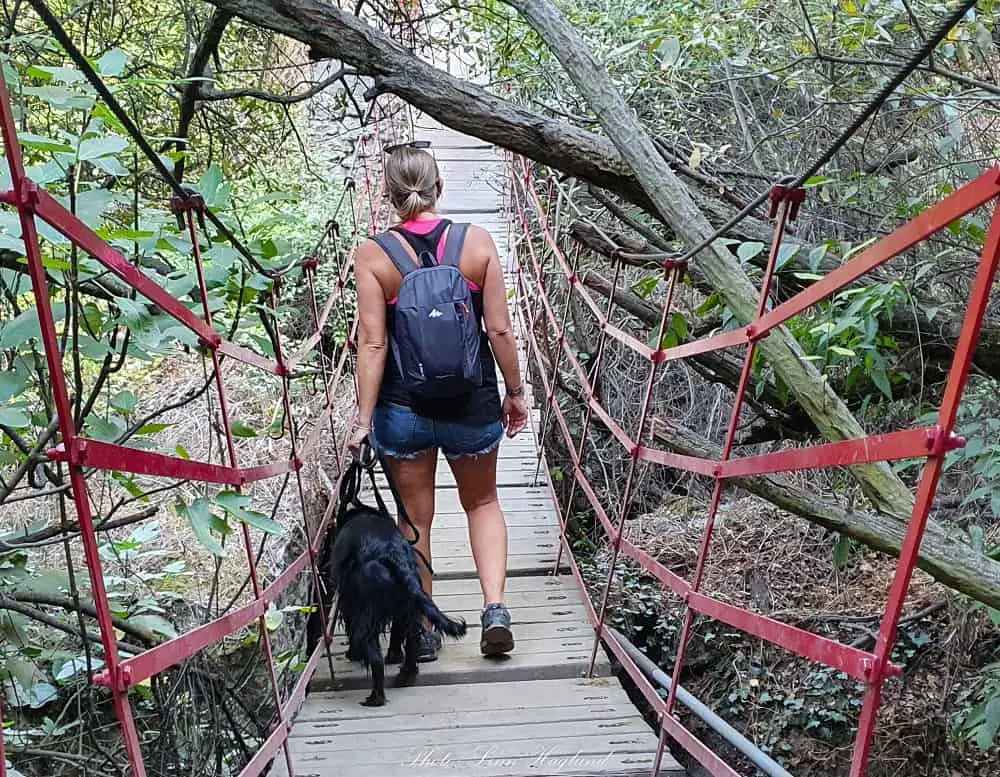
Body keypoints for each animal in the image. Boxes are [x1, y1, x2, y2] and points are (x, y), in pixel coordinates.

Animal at [328, 464, 468, 708]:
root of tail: (393, 556)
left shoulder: (349, 603)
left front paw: (353, 654)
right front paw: (394, 655)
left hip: (366, 613)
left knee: (374, 657)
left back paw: (375, 697)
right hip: (408, 606)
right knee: (410, 640)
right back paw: (406, 674)